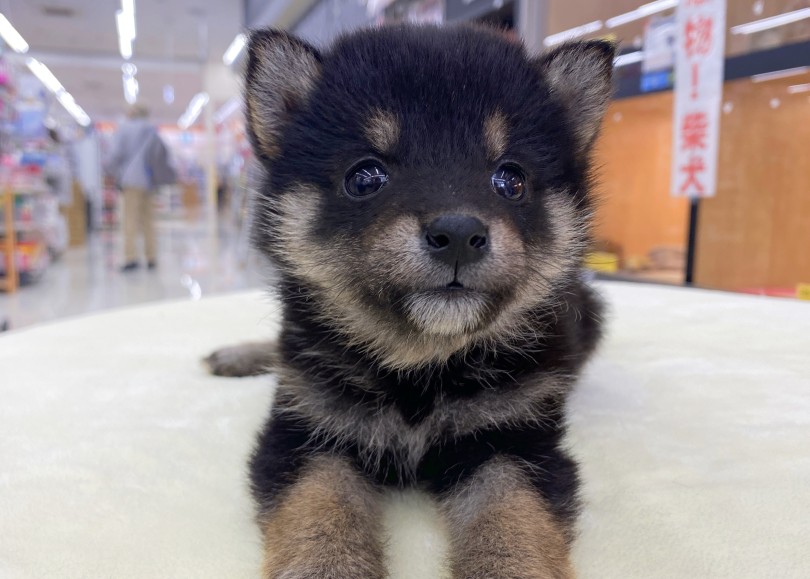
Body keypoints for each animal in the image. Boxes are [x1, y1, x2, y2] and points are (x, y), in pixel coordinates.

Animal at [208, 23, 612, 579]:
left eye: (511, 179)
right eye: (364, 176)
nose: (459, 234)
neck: (419, 366)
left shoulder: (513, 441)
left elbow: (511, 525)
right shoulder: (309, 432)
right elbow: (319, 517)